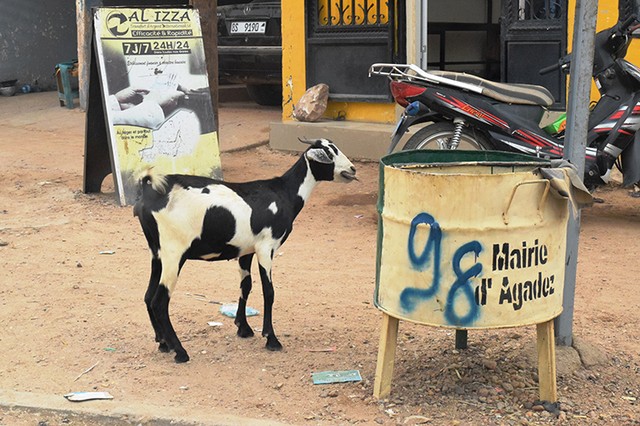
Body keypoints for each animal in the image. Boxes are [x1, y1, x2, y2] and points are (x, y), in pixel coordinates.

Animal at [133, 138, 357, 362]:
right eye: (329, 153)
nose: (352, 169)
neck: (284, 193)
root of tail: (150, 192)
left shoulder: (246, 250)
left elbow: (246, 286)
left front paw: (243, 328)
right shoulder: (267, 247)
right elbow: (269, 291)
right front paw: (271, 338)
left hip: (157, 253)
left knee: (147, 296)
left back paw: (163, 343)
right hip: (174, 252)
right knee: (160, 301)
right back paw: (180, 351)